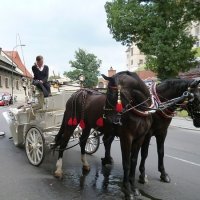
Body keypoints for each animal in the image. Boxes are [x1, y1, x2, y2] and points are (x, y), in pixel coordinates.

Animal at [54, 71, 152, 199]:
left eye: (111, 94)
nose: (109, 119)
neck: (138, 110)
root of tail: (76, 93)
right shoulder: (126, 138)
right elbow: (126, 163)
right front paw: (127, 189)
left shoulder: (140, 138)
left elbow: (134, 161)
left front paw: (133, 187)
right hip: (71, 122)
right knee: (64, 142)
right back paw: (58, 169)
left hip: (87, 125)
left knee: (83, 141)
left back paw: (85, 164)